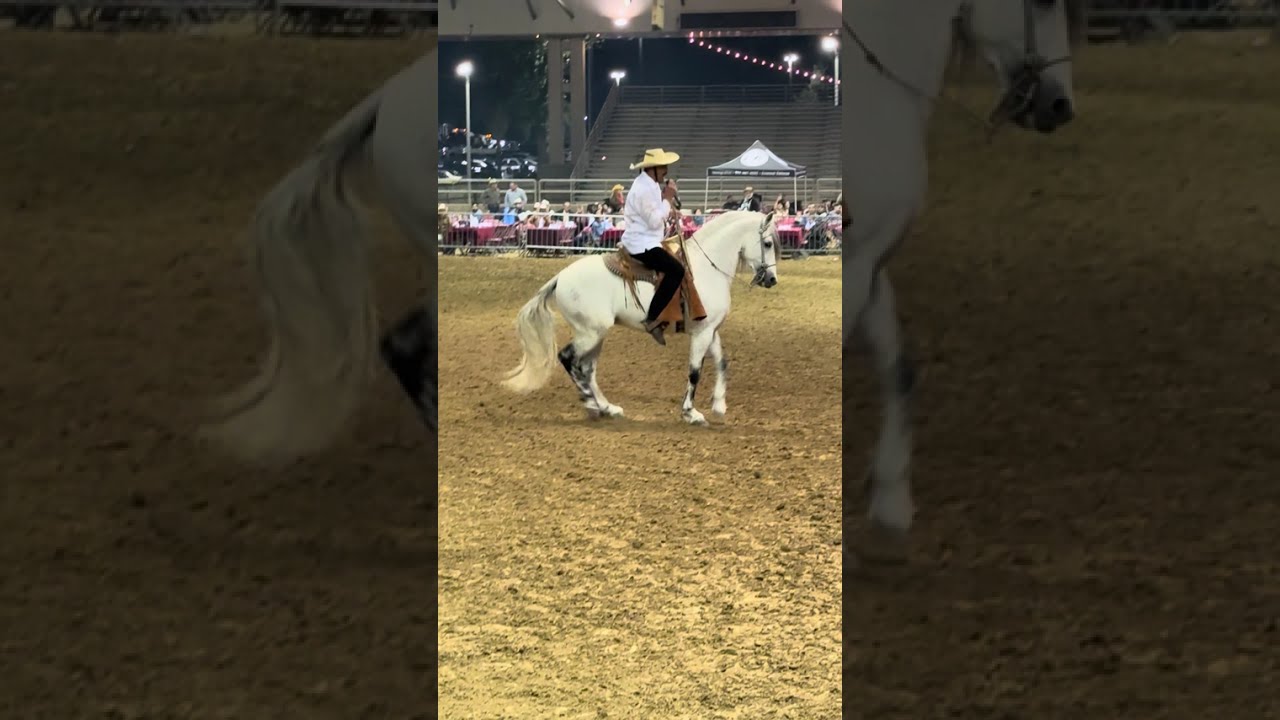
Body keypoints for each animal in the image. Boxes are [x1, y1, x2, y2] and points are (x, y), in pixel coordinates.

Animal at [501, 210, 782, 425]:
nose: (771, 279)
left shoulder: (709, 331)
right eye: (768, 243)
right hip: (590, 333)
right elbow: (694, 372)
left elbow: (722, 363)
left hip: (594, 335)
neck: (705, 269)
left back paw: (607, 407)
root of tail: (561, 277)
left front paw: (719, 405)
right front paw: (691, 413)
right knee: (569, 359)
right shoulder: (702, 333)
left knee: (587, 369)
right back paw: (591, 404)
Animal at [843, 0, 1085, 559]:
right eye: (1044, 1)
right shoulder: (854, 262)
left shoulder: (870, 260)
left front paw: (892, 501)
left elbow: (901, 370)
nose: (1060, 105)